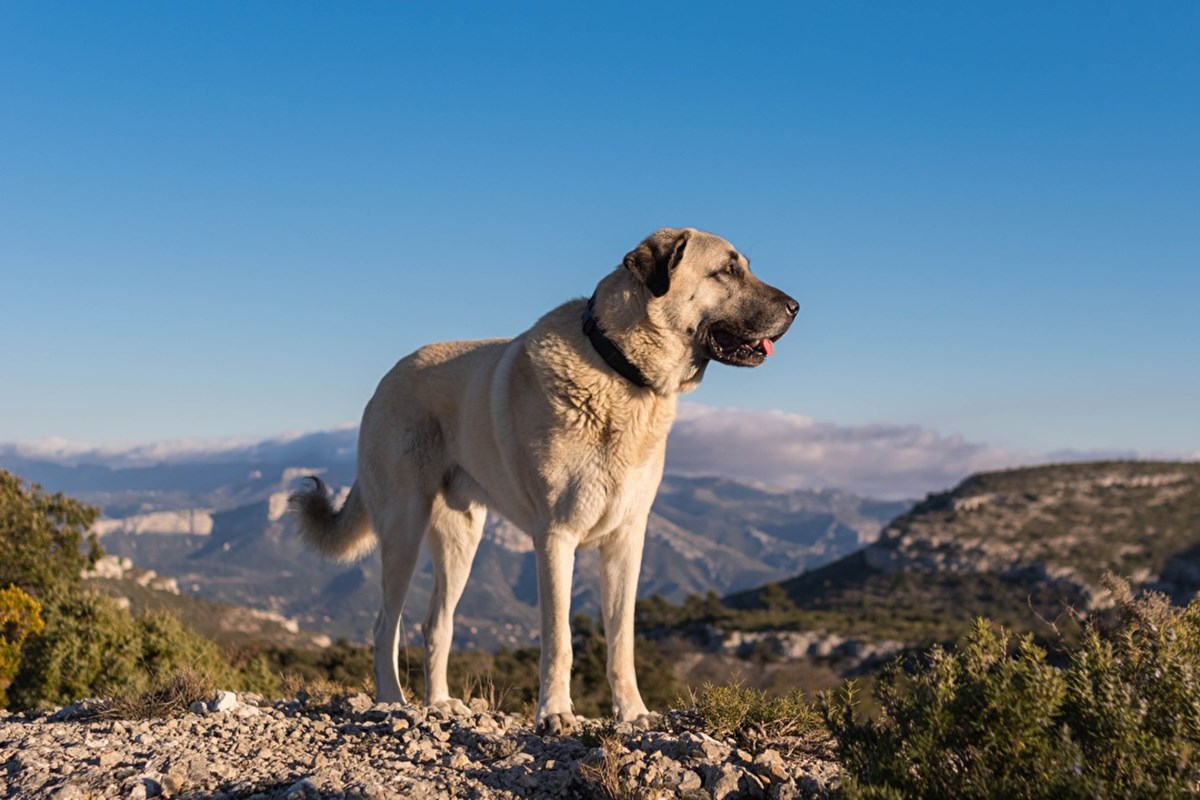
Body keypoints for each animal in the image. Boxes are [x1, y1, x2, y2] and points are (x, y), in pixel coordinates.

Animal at [289, 227, 796, 734]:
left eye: (744, 267)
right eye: (727, 270)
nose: (795, 306)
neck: (618, 370)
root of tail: (387, 378)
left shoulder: (626, 542)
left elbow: (622, 642)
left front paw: (633, 712)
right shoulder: (556, 538)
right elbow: (559, 638)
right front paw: (555, 711)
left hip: (462, 539)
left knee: (437, 624)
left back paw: (440, 702)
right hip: (404, 528)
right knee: (385, 626)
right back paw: (393, 700)